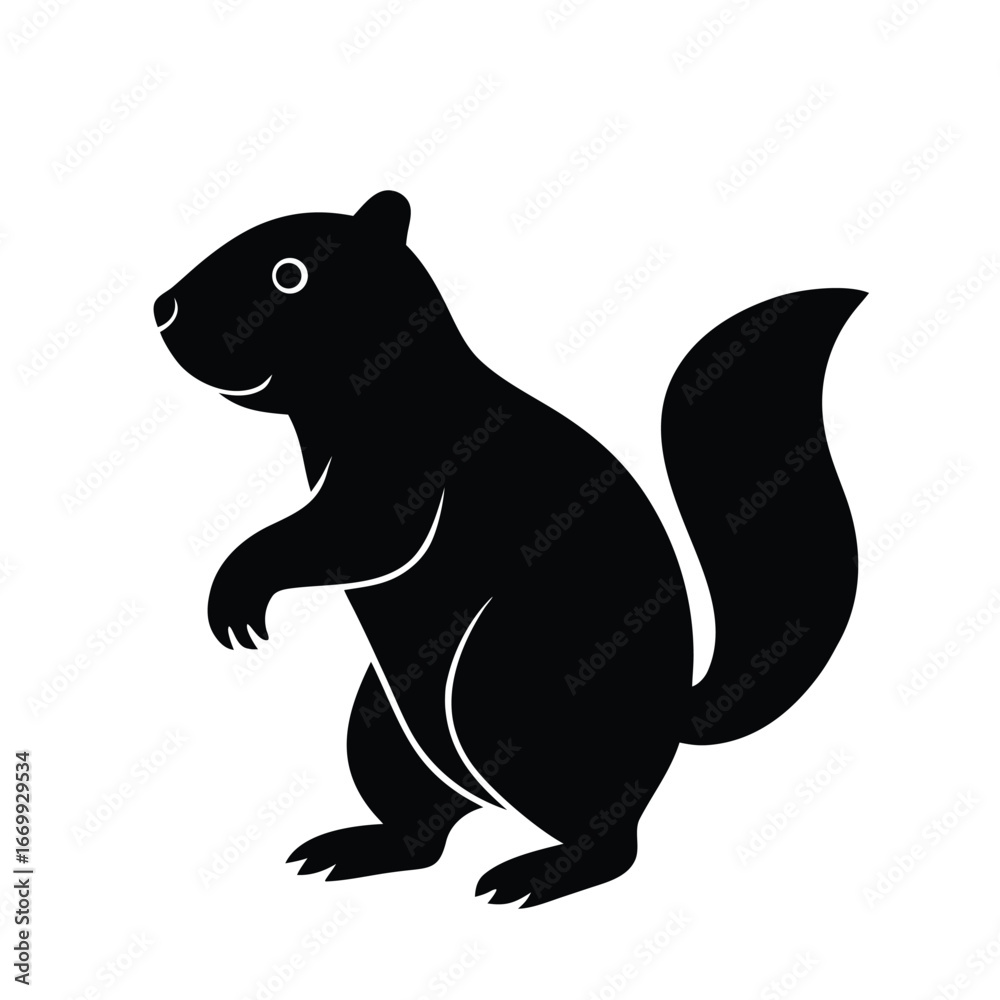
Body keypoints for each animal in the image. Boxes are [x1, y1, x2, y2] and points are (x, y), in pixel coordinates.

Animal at [155, 191, 864, 906]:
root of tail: (672, 713)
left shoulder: (403, 471)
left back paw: (538, 874)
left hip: (503, 692)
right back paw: (362, 850)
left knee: (611, 837)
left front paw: (239, 593)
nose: (164, 309)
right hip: (382, 728)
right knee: (426, 824)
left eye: (289, 275)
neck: (382, 385)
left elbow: (356, 537)